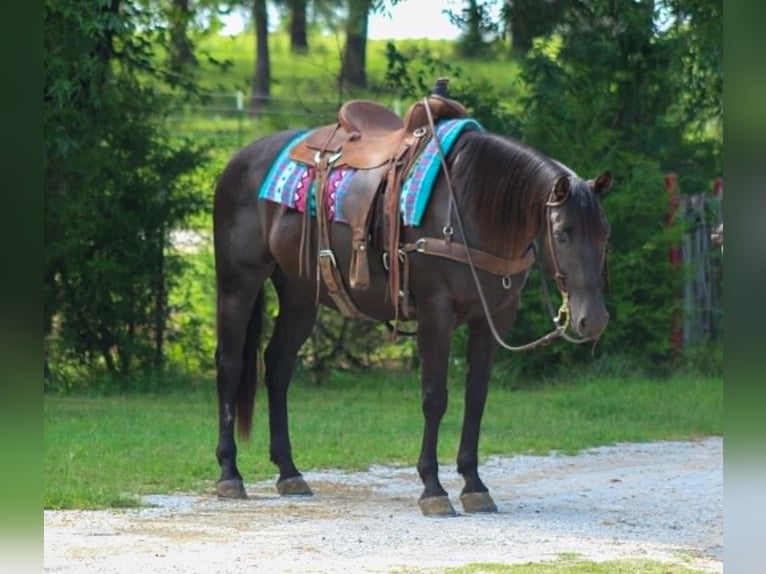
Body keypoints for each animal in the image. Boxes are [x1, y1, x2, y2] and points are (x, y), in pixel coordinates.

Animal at [212, 102, 612, 516]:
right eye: (562, 233)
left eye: (606, 232)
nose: (594, 319)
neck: (469, 205)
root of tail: (239, 159)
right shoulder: (436, 313)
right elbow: (435, 397)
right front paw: (433, 489)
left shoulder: (492, 319)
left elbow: (476, 397)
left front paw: (474, 485)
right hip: (238, 283)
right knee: (230, 365)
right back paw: (229, 474)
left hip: (299, 294)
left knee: (277, 366)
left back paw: (289, 472)